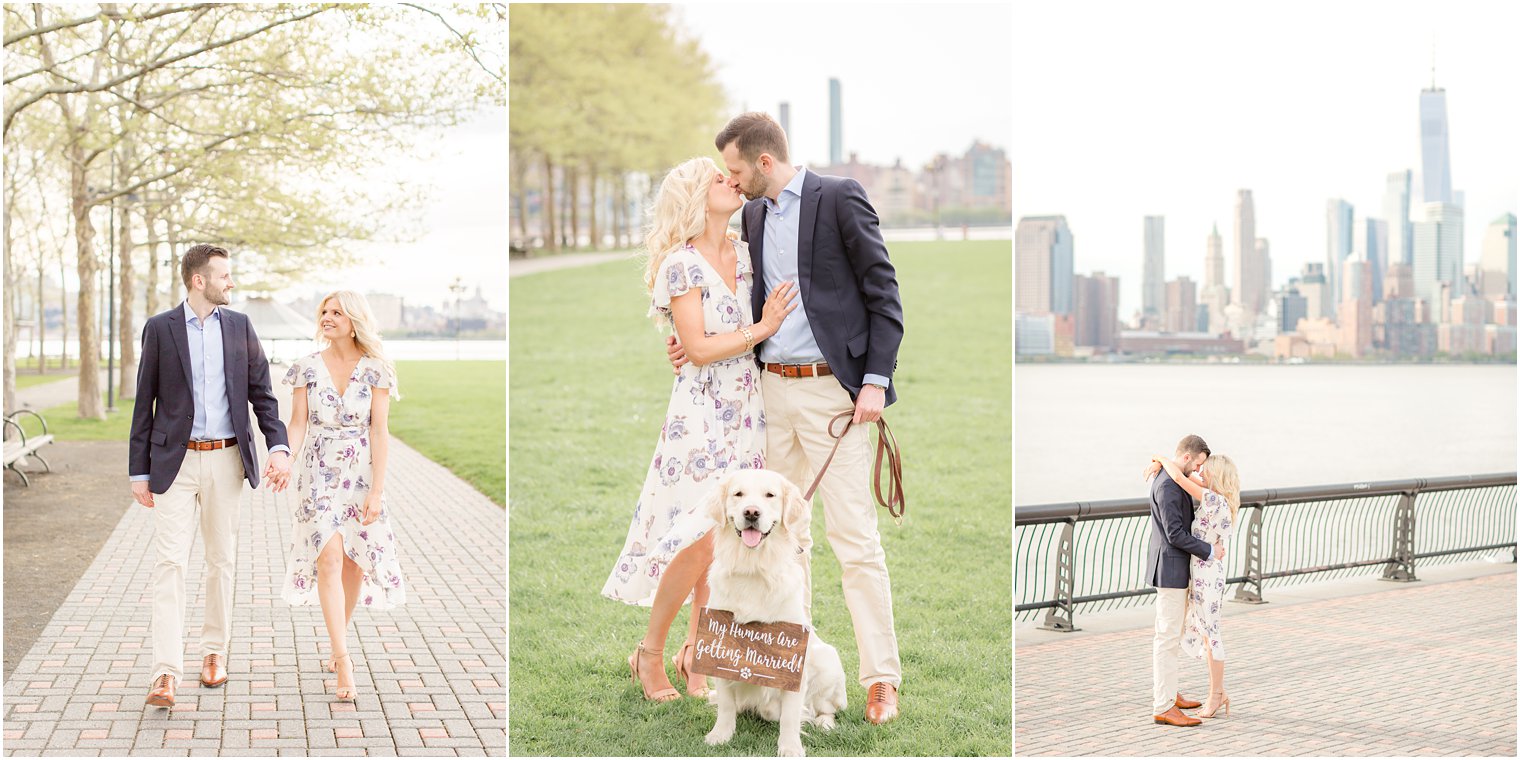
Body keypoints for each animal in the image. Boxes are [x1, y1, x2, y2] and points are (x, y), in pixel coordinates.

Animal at [696, 465, 845, 756]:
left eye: (770, 495)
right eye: (738, 494)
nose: (751, 512)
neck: (753, 569)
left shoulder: (794, 662)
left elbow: (790, 714)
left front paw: (790, 747)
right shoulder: (719, 648)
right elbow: (726, 704)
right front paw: (720, 735)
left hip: (827, 658)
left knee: (825, 708)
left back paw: (823, 723)